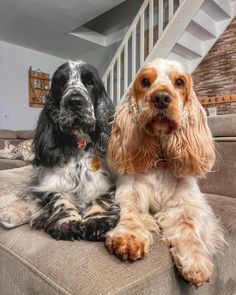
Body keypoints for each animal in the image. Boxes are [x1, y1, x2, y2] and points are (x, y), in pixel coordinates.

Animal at [0, 61, 120, 242]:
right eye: (60, 83)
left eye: (90, 82)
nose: (75, 102)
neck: (78, 146)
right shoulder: (50, 184)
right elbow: (59, 198)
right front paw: (67, 223)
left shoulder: (107, 184)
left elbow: (100, 199)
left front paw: (97, 221)